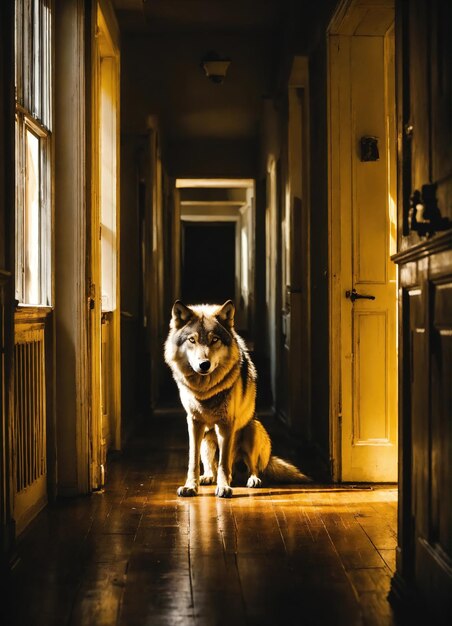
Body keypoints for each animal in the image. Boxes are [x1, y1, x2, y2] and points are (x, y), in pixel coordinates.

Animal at [164, 298, 308, 498]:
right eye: (192, 340)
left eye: (214, 340)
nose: (204, 364)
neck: (205, 390)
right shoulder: (194, 422)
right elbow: (193, 461)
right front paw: (190, 487)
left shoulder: (226, 424)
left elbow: (224, 463)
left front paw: (224, 487)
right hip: (207, 440)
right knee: (211, 466)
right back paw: (207, 477)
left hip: (252, 430)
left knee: (252, 467)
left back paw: (252, 480)